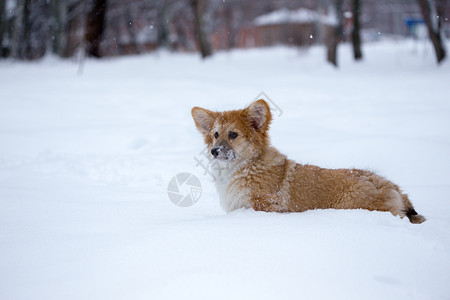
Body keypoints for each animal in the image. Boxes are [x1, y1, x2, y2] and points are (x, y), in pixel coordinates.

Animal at [192, 99, 428, 224]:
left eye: (233, 134)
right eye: (215, 134)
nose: (214, 151)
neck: (245, 167)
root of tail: (393, 188)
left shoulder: (267, 207)